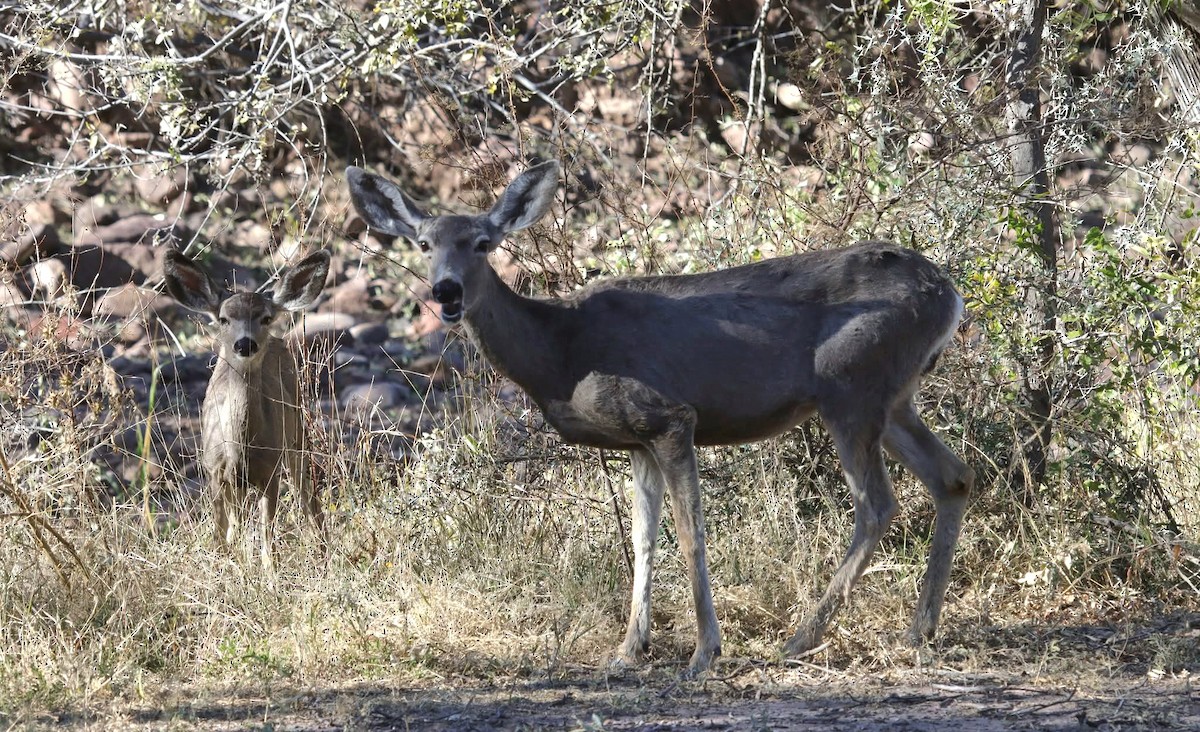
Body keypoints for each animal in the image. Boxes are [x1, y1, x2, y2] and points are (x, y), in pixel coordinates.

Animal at [162, 249, 330, 570]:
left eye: (265, 317)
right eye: (224, 319)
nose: (244, 344)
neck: (241, 448)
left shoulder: (271, 471)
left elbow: (267, 538)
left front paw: (270, 576)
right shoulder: (214, 470)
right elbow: (221, 532)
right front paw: (221, 564)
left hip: (296, 430)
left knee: (306, 493)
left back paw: (322, 546)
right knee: (237, 520)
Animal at [346, 160, 975, 676]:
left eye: (482, 242)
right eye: (424, 242)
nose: (446, 291)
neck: (561, 354)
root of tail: (948, 293)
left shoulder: (670, 416)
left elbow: (691, 533)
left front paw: (704, 652)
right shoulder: (635, 441)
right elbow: (643, 540)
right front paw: (629, 650)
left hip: (850, 384)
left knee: (878, 503)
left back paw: (800, 639)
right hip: (893, 398)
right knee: (953, 475)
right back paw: (920, 630)